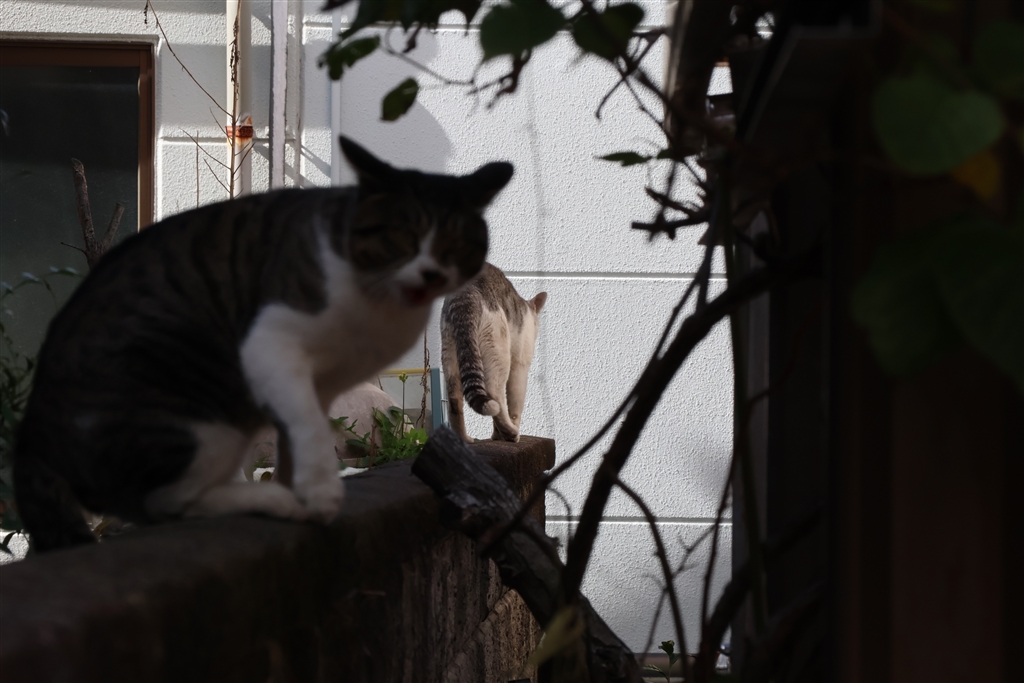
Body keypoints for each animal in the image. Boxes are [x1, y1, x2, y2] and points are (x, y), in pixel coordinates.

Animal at [440, 263, 546, 443]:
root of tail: (464, 295)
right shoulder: (520, 364)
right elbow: (515, 404)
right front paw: (506, 433)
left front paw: (497, 436)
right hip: (499, 347)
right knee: (494, 393)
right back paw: (511, 432)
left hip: (451, 352)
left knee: (454, 400)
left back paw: (463, 439)